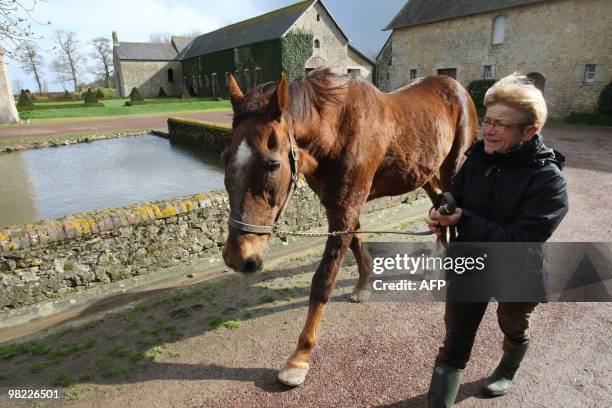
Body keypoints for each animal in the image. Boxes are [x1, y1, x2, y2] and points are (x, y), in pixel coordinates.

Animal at [220, 69, 478, 386]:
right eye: (225, 157)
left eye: (272, 164)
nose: (238, 257)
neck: (338, 130)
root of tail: (456, 87)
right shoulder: (338, 204)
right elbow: (355, 241)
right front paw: (364, 284)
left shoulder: (348, 204)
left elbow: (323, 279)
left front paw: (299, 356)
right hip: (425, 171)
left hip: (454, 164)